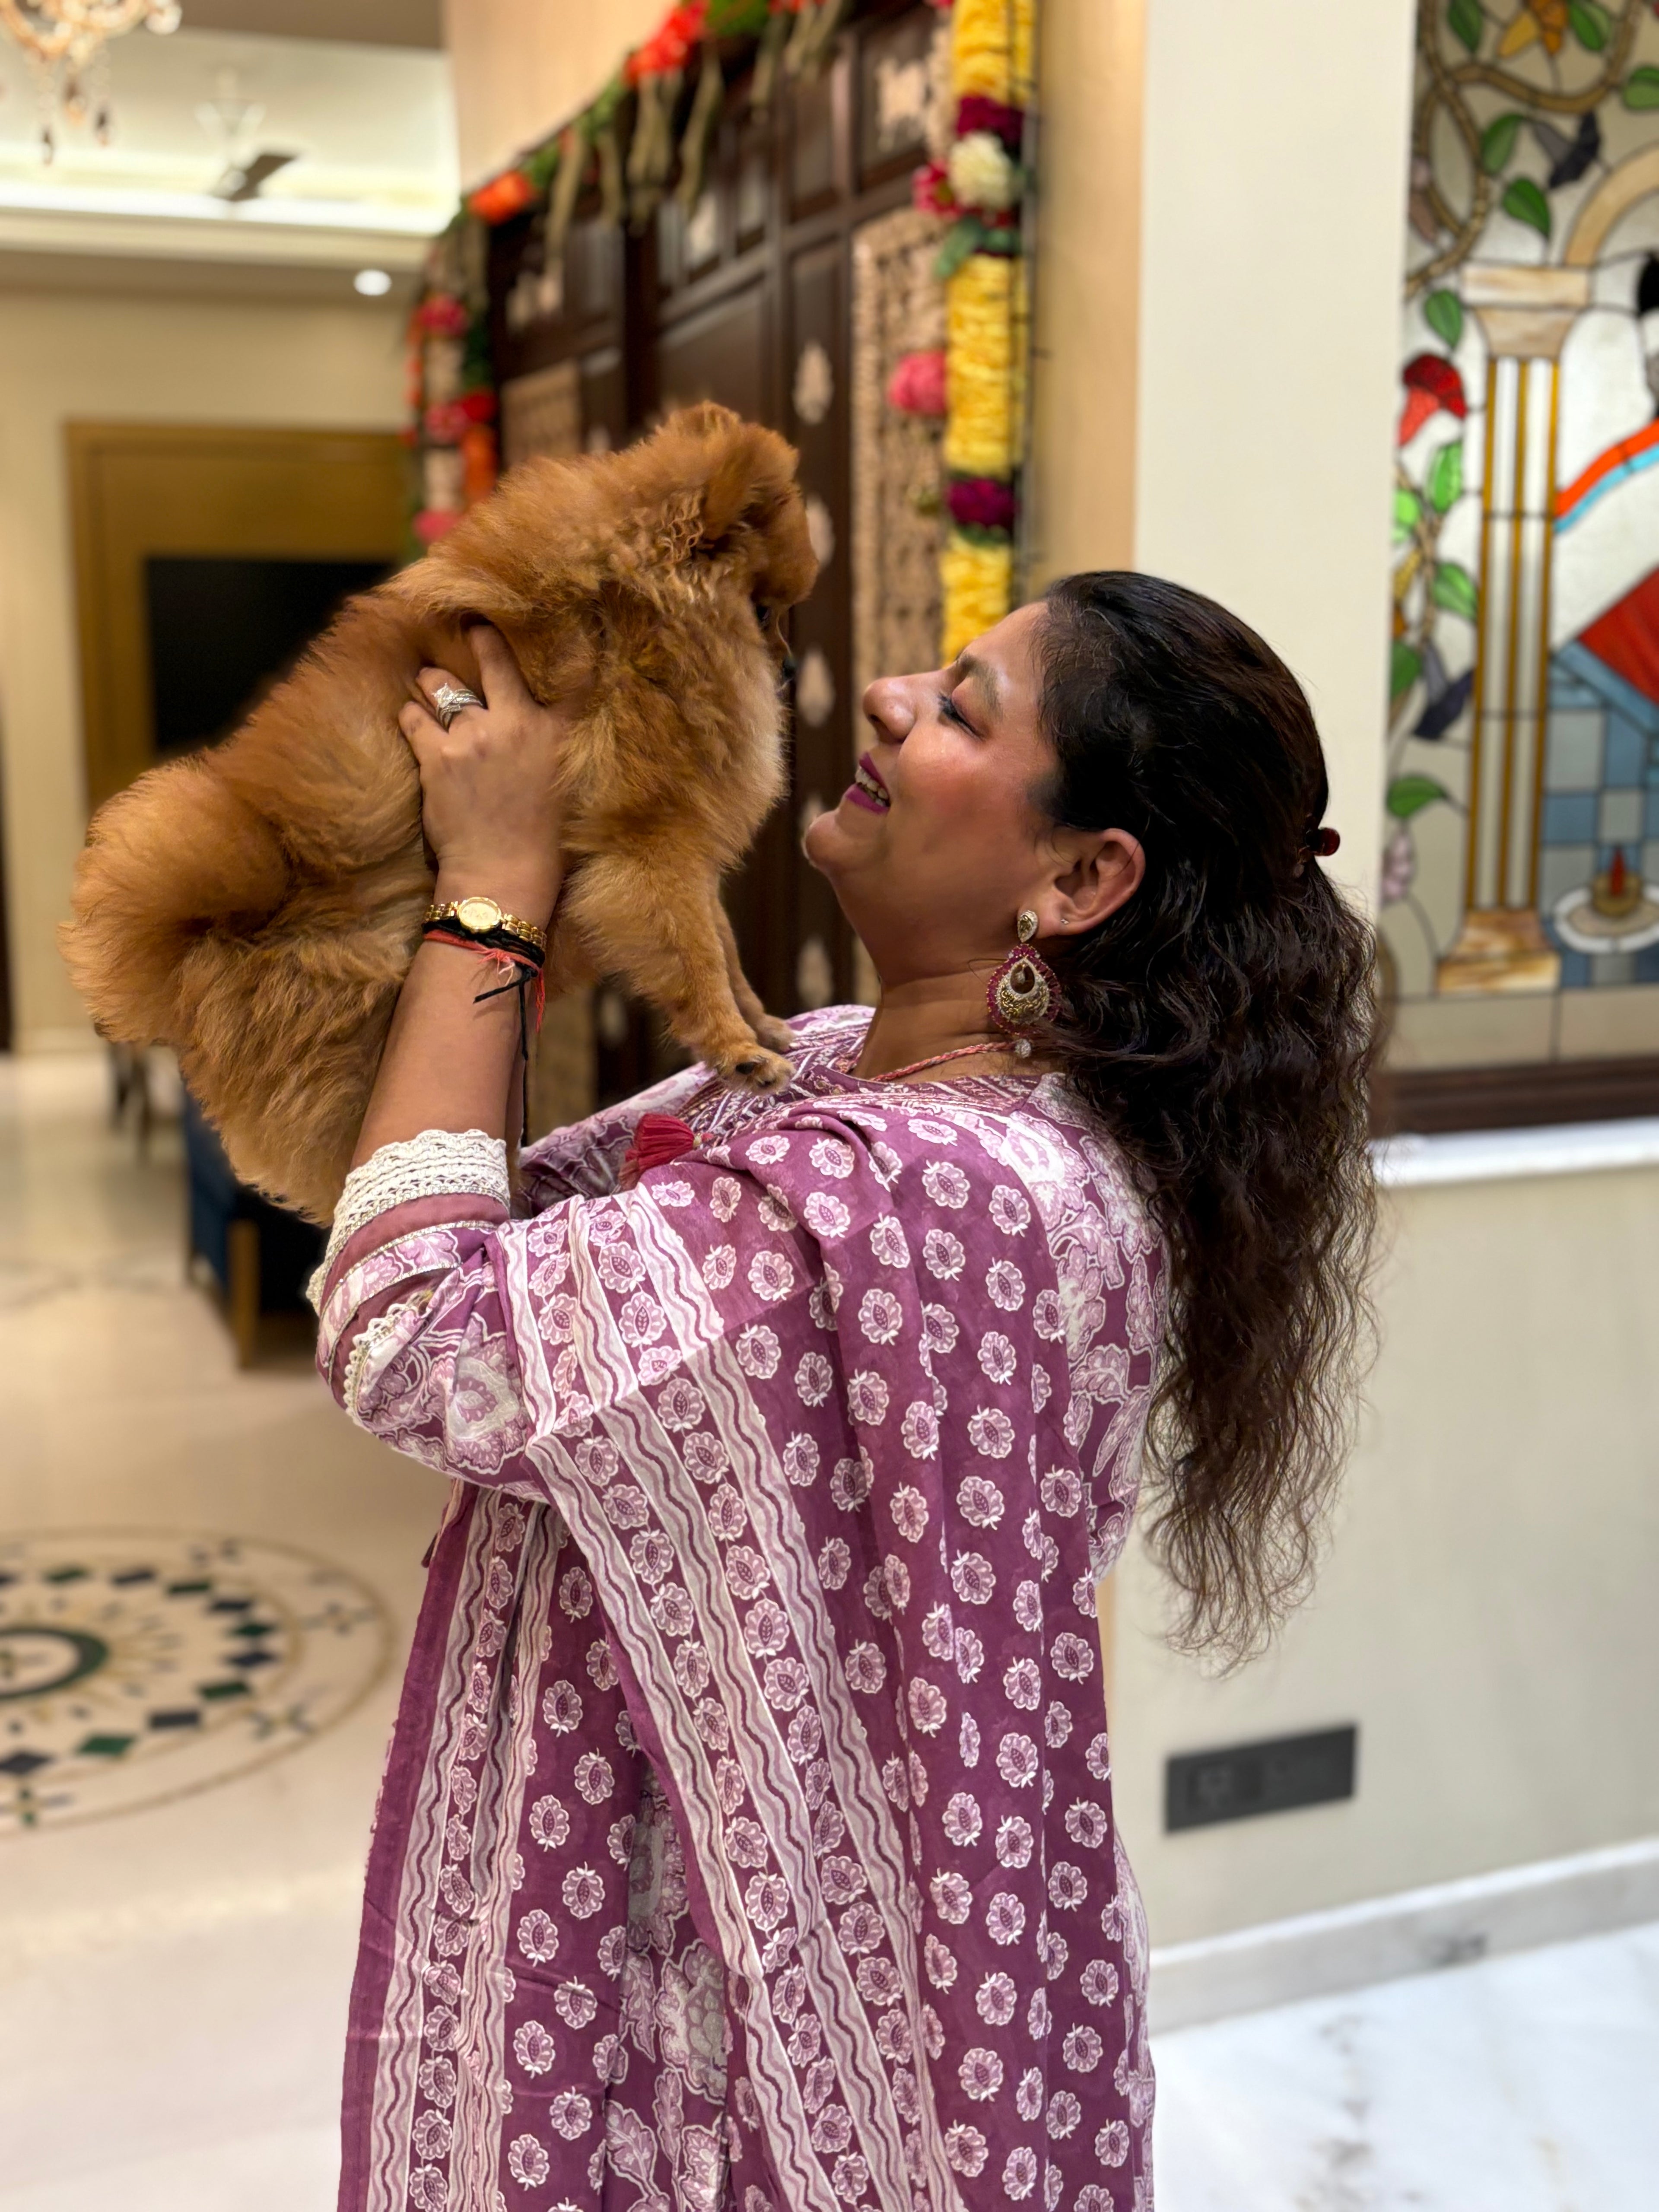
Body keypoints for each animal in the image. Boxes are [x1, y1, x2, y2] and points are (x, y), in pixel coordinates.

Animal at [61, 404, 818, 1224]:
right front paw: (738, 1050)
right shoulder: (649, 844)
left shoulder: (680, 851)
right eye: (766, 612)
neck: (629, 609)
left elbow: (723, 947)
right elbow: (697, 957)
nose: (789, 666)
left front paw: (762, 1024)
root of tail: (202, 937)